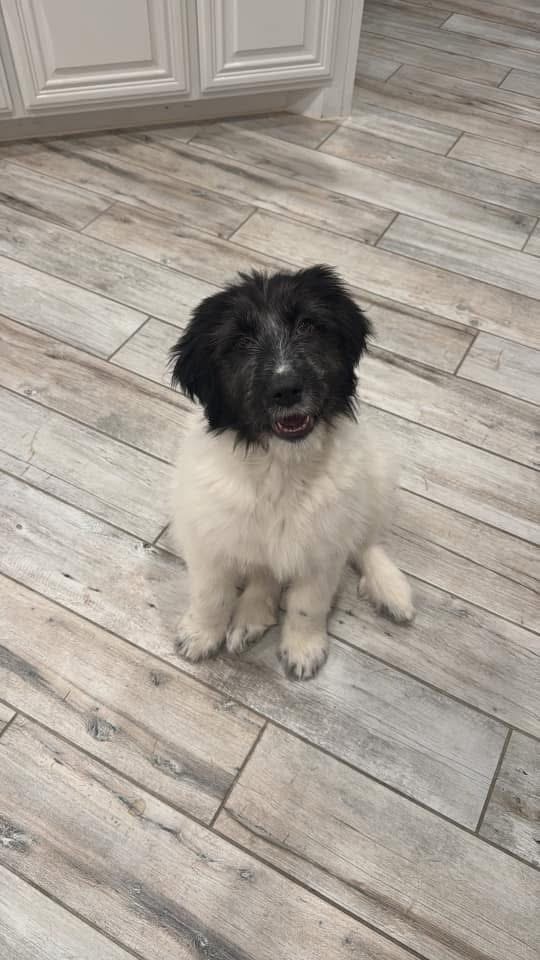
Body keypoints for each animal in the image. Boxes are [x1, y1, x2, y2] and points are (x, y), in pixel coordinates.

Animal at [169, 266, 414, 680]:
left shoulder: (323, 546)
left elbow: (307, 604)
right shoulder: (209, 536)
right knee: (265, 574)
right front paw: (201, 634)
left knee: (364, 540)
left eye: (308, 325)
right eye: (240, 342)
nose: (286, 390)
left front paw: (303, 648)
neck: (281, 466)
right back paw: (251, 616)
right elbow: (210, 593)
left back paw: (390, 588)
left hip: (375, 472)